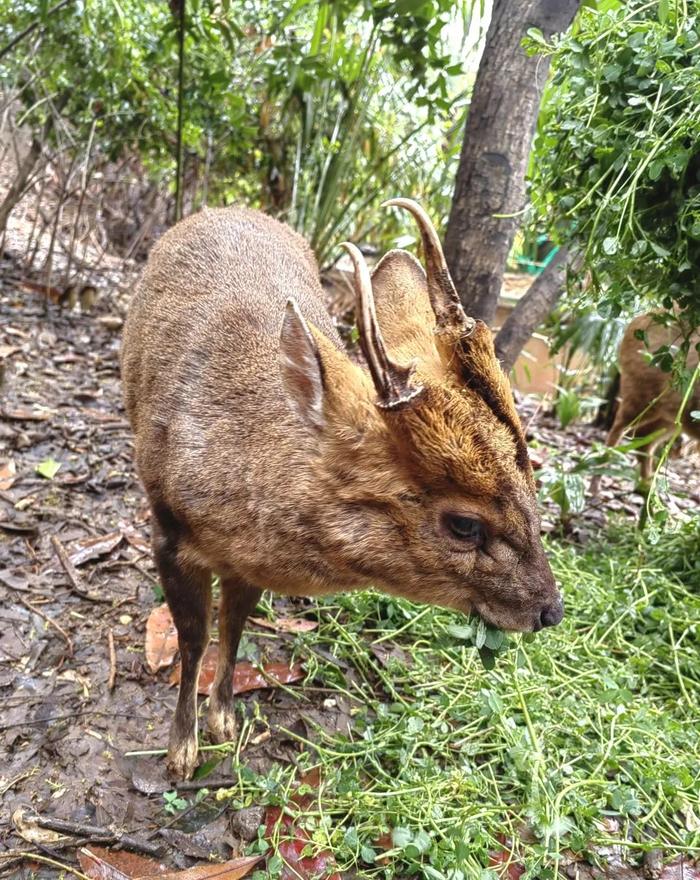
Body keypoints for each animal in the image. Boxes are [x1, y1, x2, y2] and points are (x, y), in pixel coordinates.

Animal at [119, 199, 556, 776]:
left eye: (532, 486)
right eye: (465, 524)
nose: (550, 610)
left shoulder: (245, 563)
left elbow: (234, 623)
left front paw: (225, 720)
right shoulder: (167, 529)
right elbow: (194, 638)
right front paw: (181, 752)